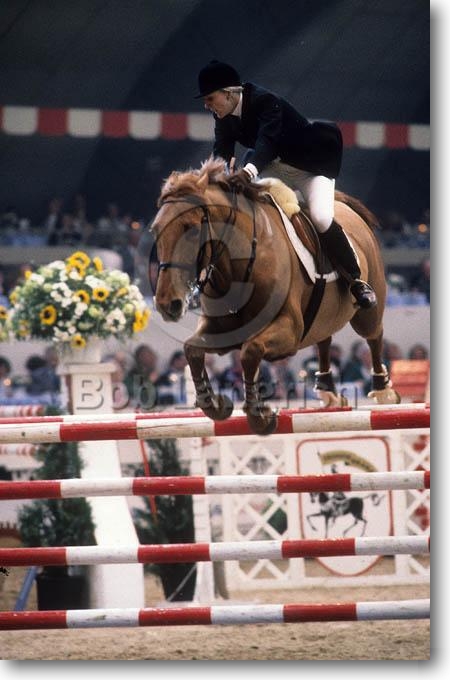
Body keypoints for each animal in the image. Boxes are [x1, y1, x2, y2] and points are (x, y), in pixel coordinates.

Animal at [150, 157, 399, 435]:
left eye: (191, 230)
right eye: (155, 231)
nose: (167, 304)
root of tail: (346, 208)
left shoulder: (288, 330)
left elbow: (250, 352)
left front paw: (260, 416)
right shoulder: (222, 331)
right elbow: (192, 350)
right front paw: (215, 404)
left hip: (366, 311)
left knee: (374, 335)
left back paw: (383, 390)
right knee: (324, 339)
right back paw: (327, 390)